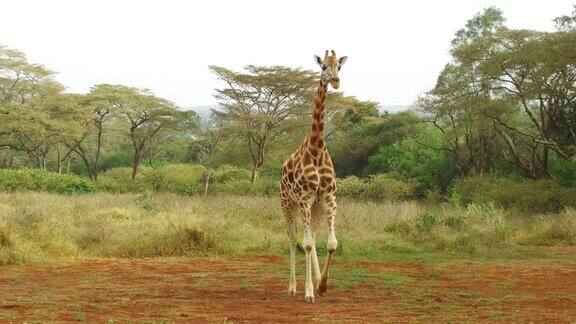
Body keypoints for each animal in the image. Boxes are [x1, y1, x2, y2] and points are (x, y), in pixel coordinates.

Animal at [280, 49, 346, 302]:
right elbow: (306, 245)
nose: (336, 81)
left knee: (313, 238)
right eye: (323, 67)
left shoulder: (328, 199)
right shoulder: (305, 199)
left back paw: (315, 282)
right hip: (287, 203)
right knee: (292, 240)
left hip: (314, 207)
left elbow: (331, 244)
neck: (316, 148)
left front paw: (322, 285)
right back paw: (291, 287)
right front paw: (308, 292)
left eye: (339, 66)